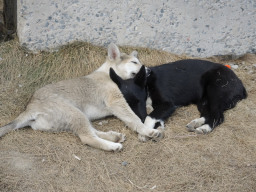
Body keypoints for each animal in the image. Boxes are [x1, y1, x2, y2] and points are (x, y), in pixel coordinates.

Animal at [110, 59, 246, 134]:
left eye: (139, 101)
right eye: (125, 105)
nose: (137, 120)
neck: (147, 83)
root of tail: (240, 84)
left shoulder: (168, 104)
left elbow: (149, 117)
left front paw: (146, 132)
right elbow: (155, 116)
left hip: (215, 93)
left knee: (218, 116)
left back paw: (205, 128)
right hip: (203, 101)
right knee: (209, 114)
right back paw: (196, 123)